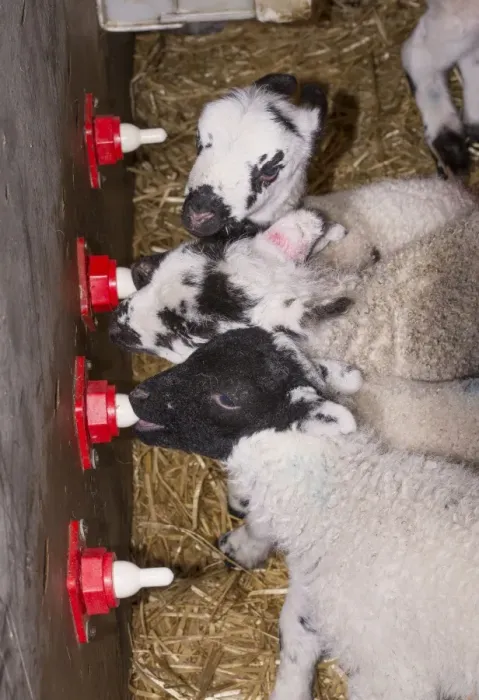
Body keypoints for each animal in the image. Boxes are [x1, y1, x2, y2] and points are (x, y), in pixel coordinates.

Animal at [129, 325, 479, 700]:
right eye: (198, 354)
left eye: (227, 398)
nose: (136, 395)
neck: (347, 501)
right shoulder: (311, 588)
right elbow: (294, 632)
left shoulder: (391, 673)